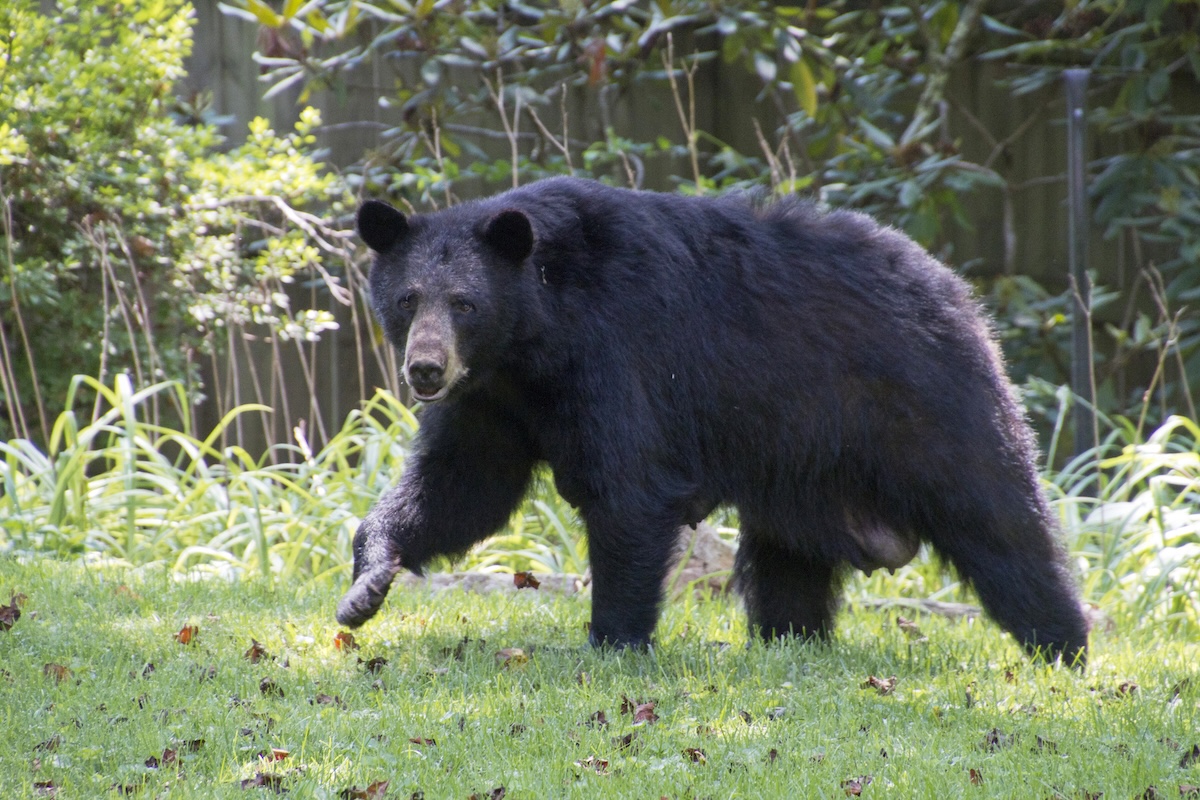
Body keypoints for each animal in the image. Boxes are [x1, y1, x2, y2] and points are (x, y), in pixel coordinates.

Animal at [337, 176, 1089, 666]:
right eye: (407, 299)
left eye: (464, 303)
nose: (426, 370)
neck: (534, 340)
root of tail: (960, 294)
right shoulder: (493, 403)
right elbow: (461, 487)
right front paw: (366, 586)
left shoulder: (622, 353)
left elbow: (631, 489)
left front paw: (613, 641)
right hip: (803, 474)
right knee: (788, 567)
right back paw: (791, 641)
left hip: (926, 405)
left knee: (999, 521)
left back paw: (1063, 645)